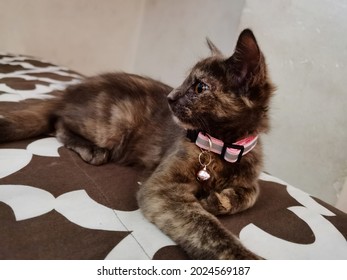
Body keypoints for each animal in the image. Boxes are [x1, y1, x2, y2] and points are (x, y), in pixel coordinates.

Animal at [1, 29, 276, 260]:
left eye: (200, 87)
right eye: (185, 81)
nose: (170, 97)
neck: (223, 148)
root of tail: (69, 90)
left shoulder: (251, 179)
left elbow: (250, 195)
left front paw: (217, 201)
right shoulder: (162, 189)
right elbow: (206, 229)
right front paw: (242, 256)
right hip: (112, 125)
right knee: (59, 123)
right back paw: (92, 150)